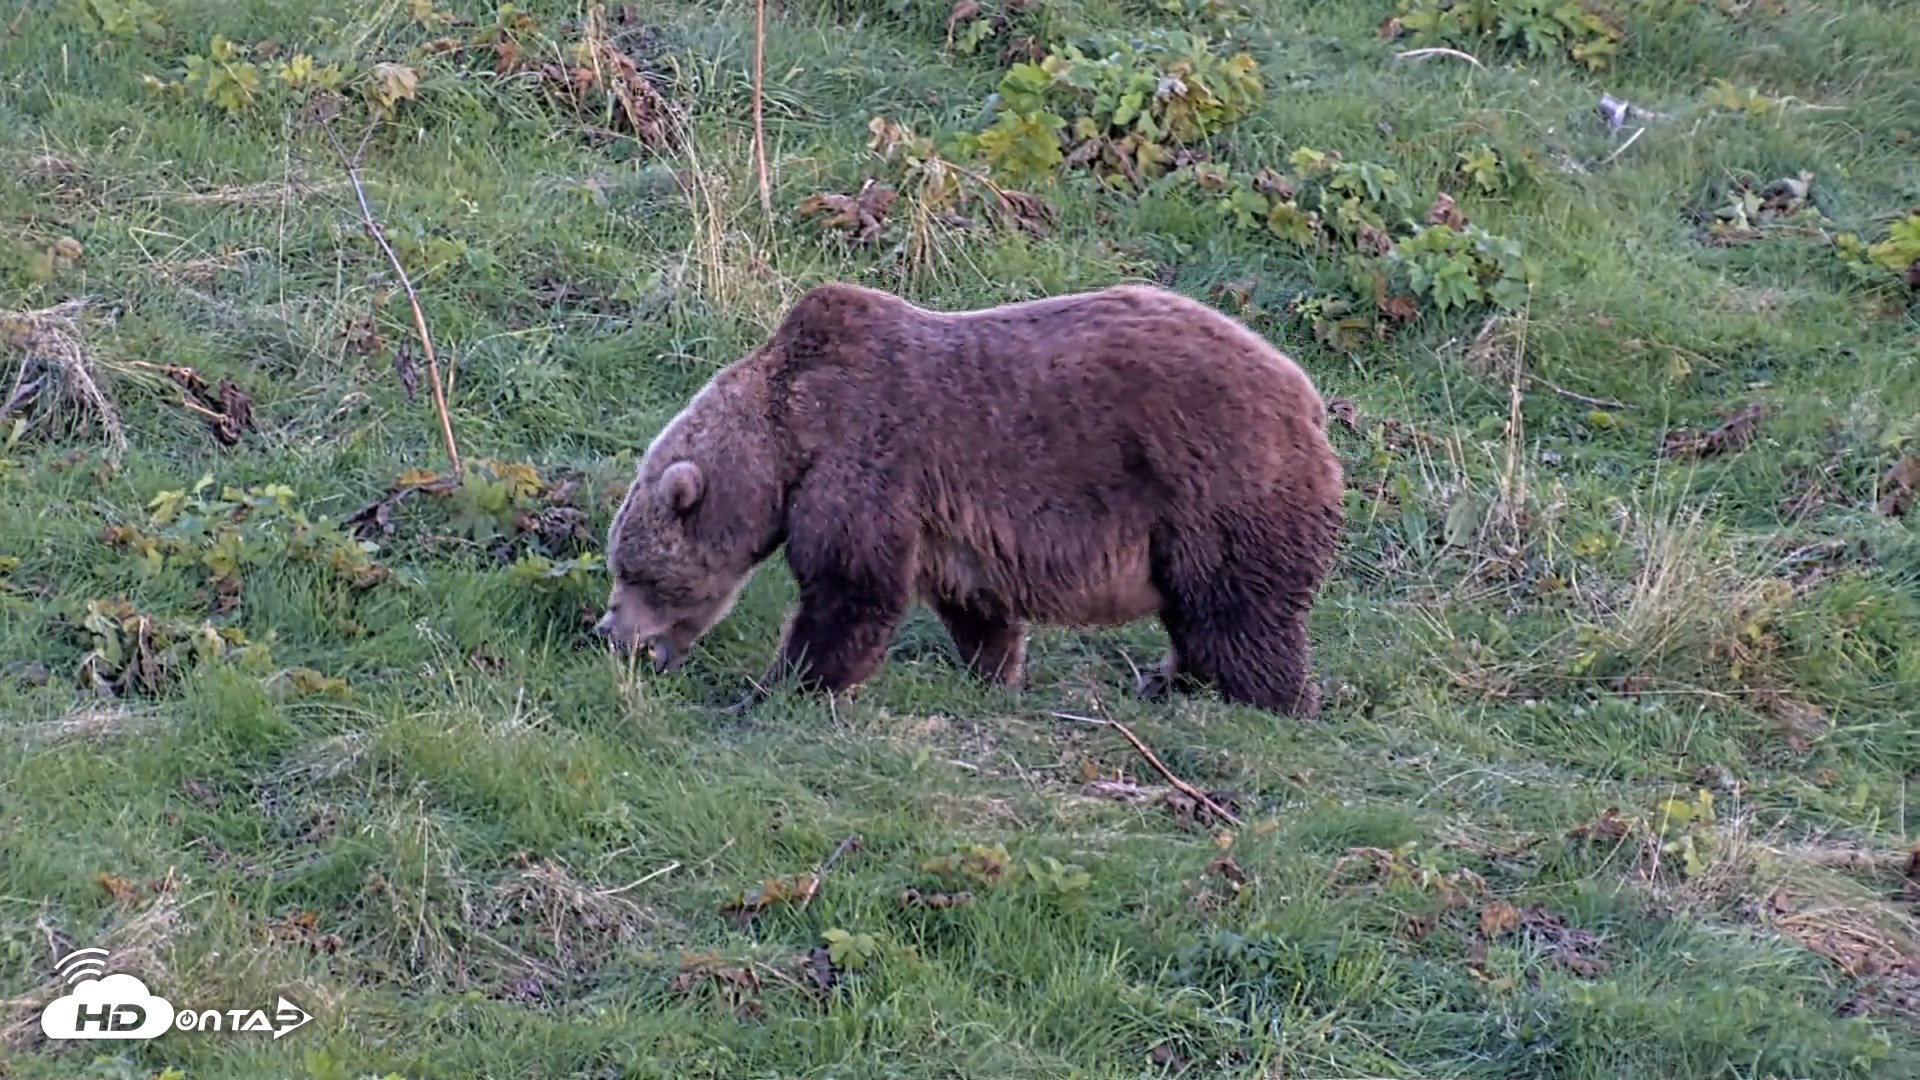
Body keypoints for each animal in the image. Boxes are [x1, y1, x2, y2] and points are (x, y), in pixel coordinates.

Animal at [593, 279, 1344, 717]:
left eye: (636, 571)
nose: (609, 632)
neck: (788, 435)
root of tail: (1309, 399)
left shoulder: (864, 464)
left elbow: (849, 591)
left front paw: (777, 686)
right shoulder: (947, 520)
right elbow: (974, 603)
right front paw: (995, 671)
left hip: (1218, 485)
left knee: (1235, 610)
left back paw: (1269, 700)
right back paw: (1169, 680)